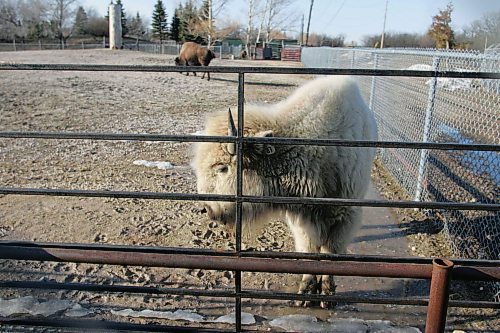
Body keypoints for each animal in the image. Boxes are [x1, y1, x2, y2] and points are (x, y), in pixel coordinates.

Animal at [193, 75, 376, 306]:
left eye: (222, 168)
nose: (208, 210)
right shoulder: (303, 218)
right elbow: (309, 251)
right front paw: (305, 294)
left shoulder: (345, 216)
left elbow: (330, 252)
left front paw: (327, 295)